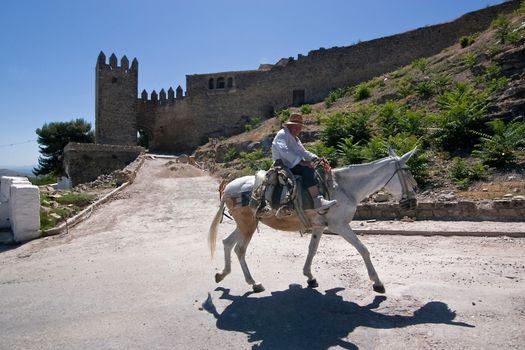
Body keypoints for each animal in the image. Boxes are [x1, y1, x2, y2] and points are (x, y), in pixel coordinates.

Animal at [207, 147, 416, 292]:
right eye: (407, 172)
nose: (412, 203)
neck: (343, 187)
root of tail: (228, 188)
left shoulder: (319, 226)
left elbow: (312, 249)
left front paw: (310, 277)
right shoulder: (340, 226)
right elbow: (363, 249)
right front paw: (377, 282)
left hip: (246, 224)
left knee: (227, 243)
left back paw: (222, 274)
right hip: (248, 225)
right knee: (239, 249)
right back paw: (254, 283)